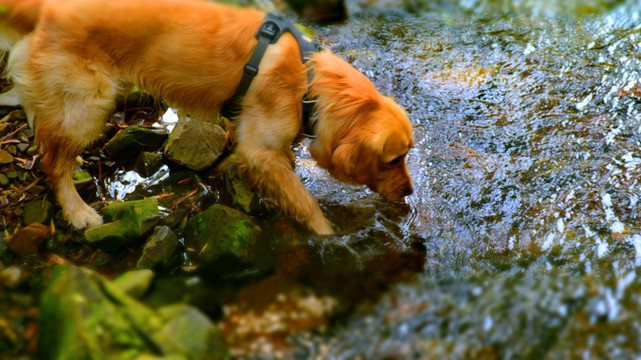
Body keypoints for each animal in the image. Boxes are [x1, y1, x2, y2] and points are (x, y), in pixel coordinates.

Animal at [0, 0, 412, 235]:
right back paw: (78, 212)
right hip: (91, 103)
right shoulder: (262, 150)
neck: (310, 82)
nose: (410, 191)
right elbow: (304, 200)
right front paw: (330, 235)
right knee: (53, 162)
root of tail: (46, 10)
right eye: (394, 159)